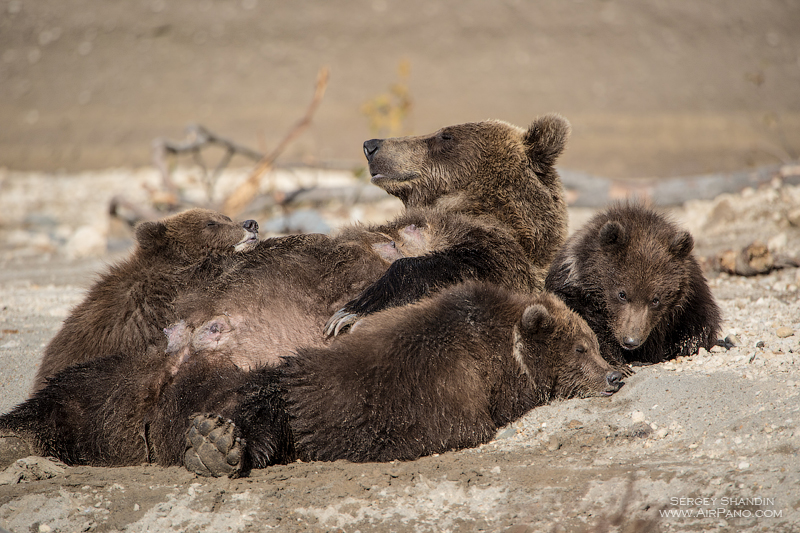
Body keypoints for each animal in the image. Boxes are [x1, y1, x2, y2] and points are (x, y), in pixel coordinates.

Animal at [548, 202, 720, 364]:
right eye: (622, 294)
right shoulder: (575, 296)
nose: (631, 340)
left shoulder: (690, 302)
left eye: (655, 300)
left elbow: (698, 330)